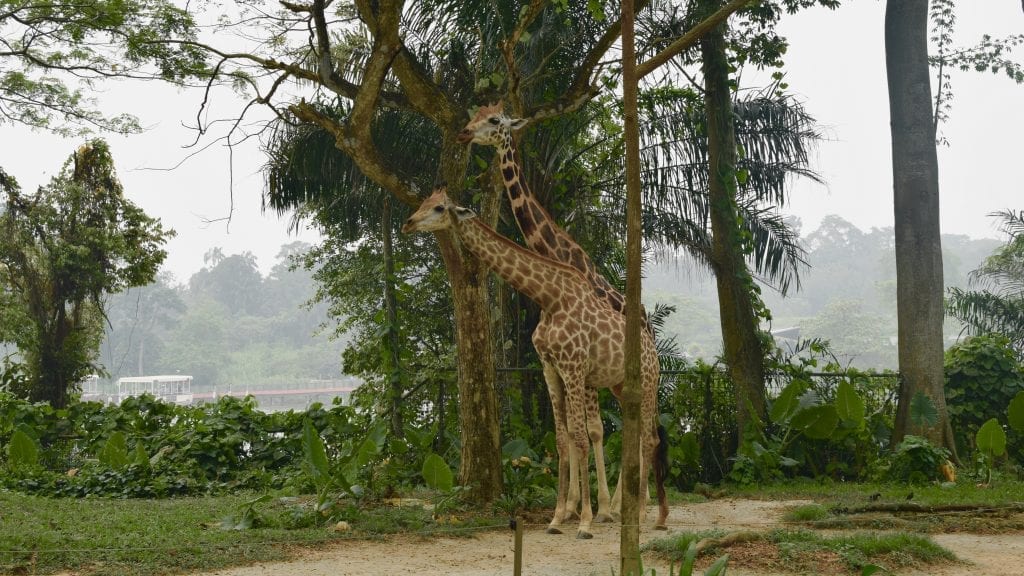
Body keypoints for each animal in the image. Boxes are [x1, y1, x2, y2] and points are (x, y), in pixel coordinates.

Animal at [403, 186, 667, 537]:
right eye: (423, 203)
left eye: (439, 208)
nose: (407, 223)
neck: (550, 298)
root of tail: (652, 346)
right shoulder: (550, 369)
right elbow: (562, 439)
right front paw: (556, 518)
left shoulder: (573, 367)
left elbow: (581, 437)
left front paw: (585, 521)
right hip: (624, 387)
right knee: (638, 435)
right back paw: (635, 510)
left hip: (648, 383)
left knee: (649, 437)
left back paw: (645, 513)